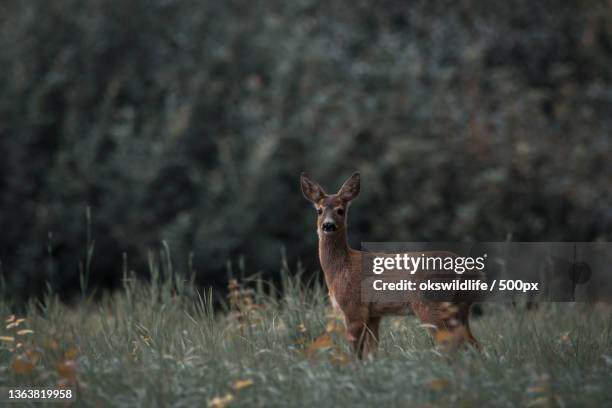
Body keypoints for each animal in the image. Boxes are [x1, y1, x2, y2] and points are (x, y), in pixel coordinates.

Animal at [300, 171, 478, 356]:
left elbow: (356, 352)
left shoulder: (354, 307)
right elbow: (372, 351)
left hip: (432, 305)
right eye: (319, 211)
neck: (341, 269)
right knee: (472, 343)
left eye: (340, 210)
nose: (328, 225)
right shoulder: (373, 314)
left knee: (451, 345)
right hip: (459, 310)